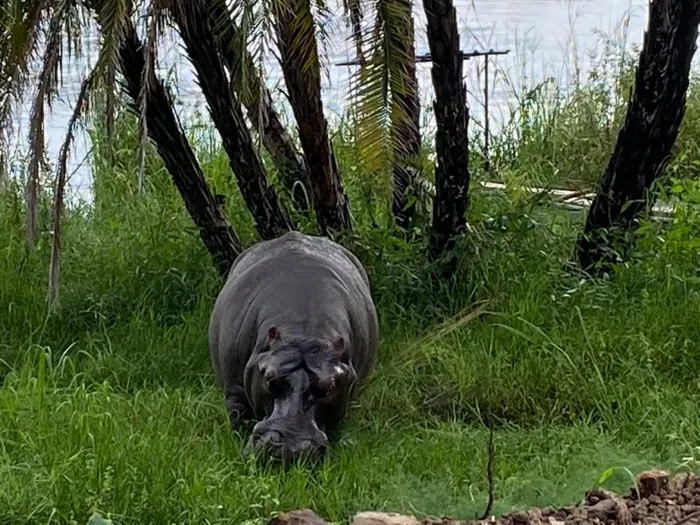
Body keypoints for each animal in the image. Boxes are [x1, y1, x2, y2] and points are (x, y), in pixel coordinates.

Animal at [208, 231, 379, 462]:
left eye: (330, 386)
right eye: (268, 377)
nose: (290, 449)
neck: (303, 336)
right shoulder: (234, 389)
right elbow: (237, 417)